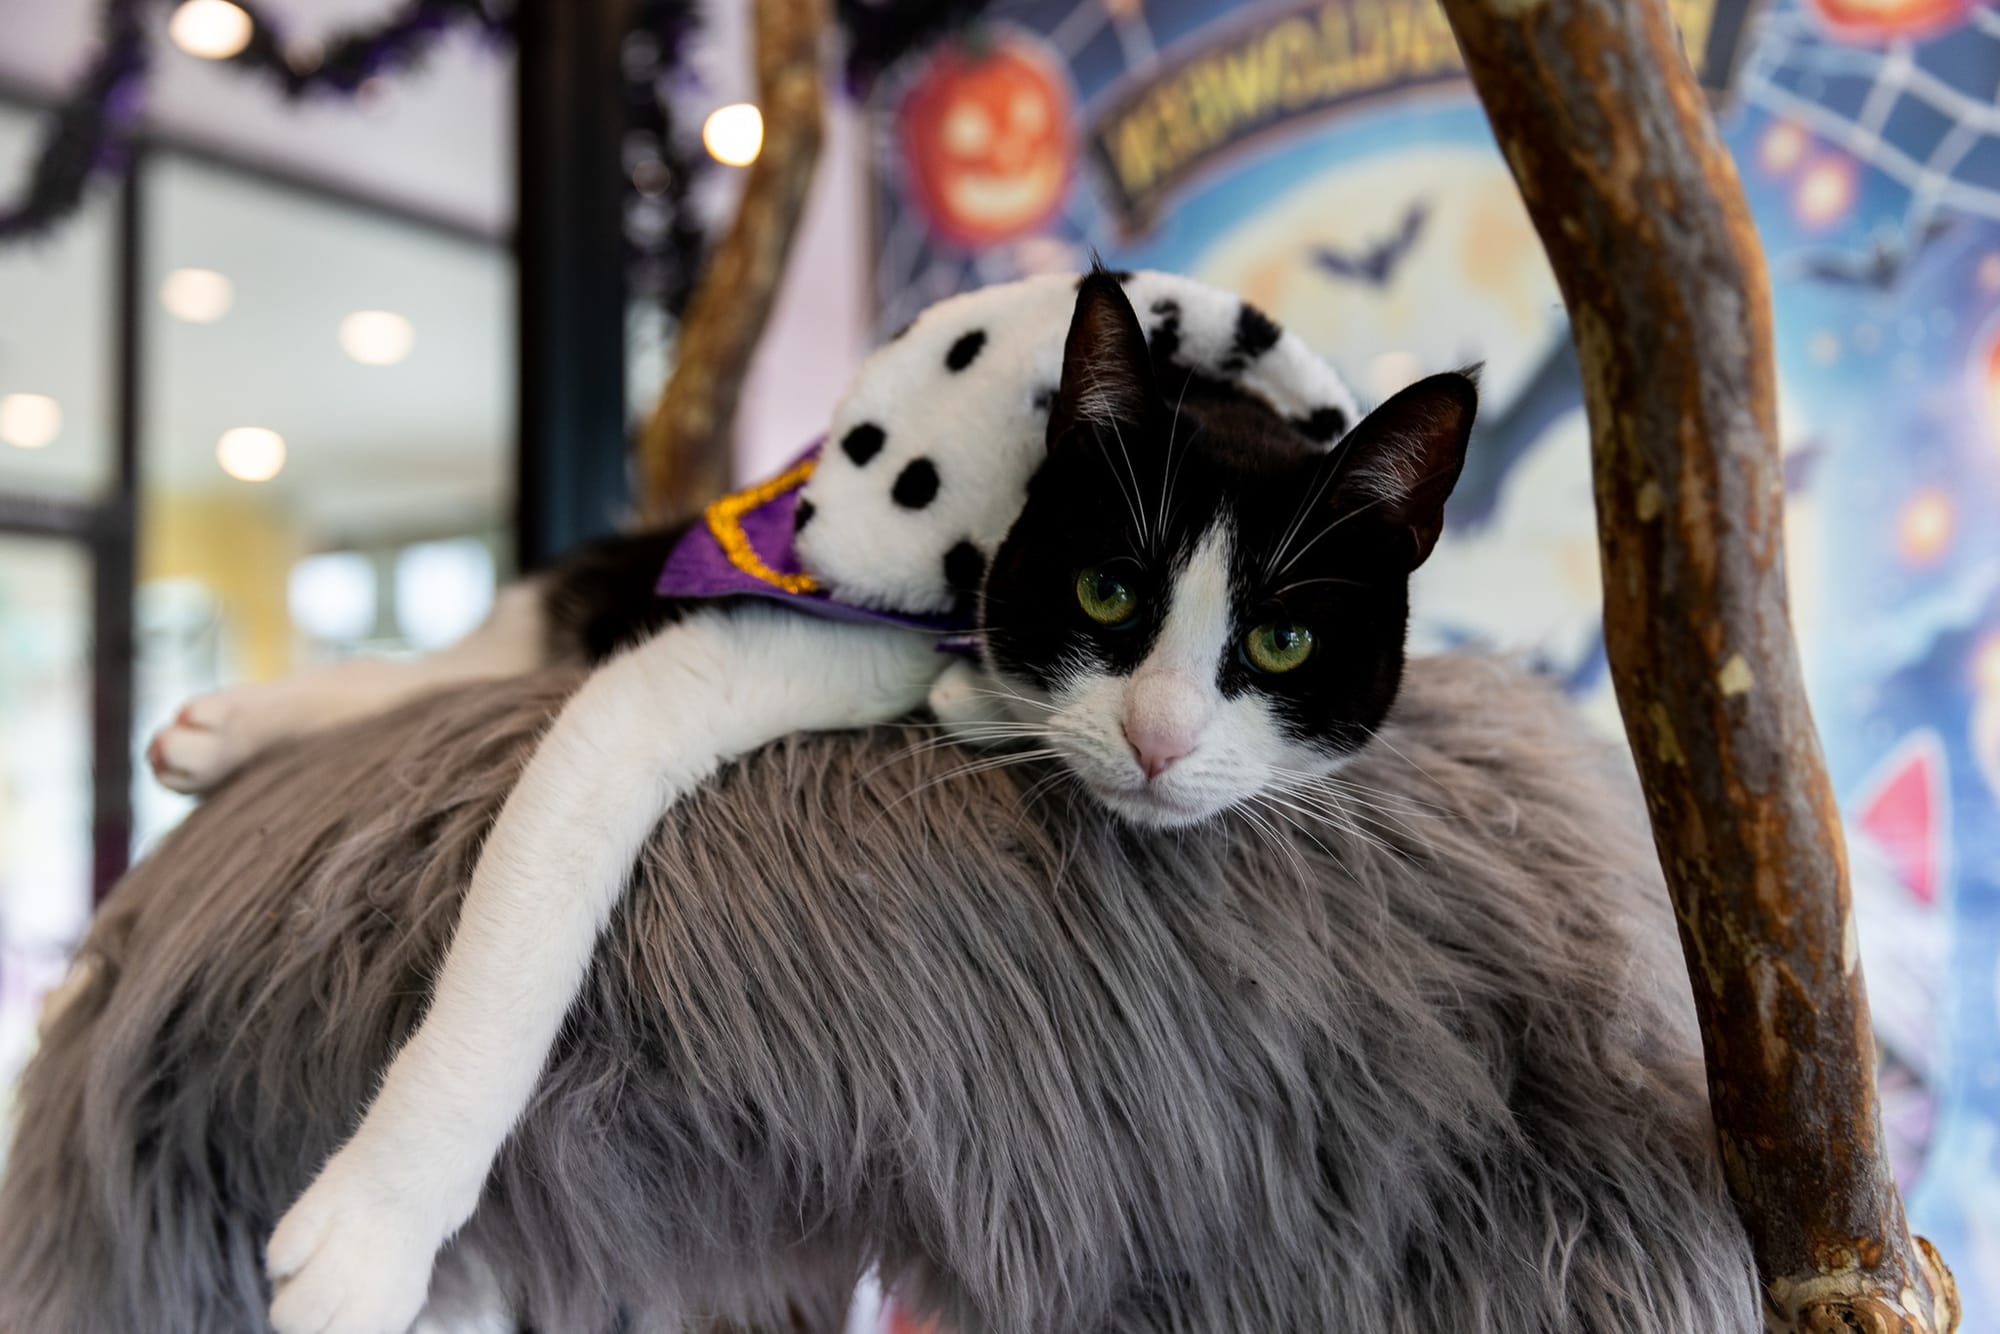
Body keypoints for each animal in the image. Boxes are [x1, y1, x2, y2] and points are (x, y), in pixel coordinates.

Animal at [156, 272, 1480, 1334]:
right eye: (1106, 592)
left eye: (1281, 640)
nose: (1158, 738)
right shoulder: (759, 639)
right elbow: (526, 929)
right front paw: (374, 1232)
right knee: (505, 645)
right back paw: (237, 722)